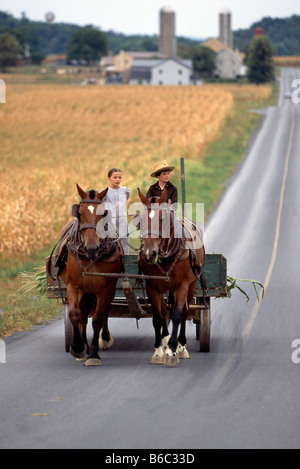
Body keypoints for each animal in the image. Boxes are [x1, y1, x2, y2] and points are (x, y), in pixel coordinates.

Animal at [59, 184, 123, 366]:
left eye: (103, 214)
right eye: (79, 213)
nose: (92, 247)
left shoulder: (105, 288)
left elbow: (98, 319)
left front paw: (94, 354)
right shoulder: (73, 286)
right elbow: (75, 314)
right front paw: (78, 347)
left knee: (102, 313)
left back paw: (103, 339)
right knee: (83, 315)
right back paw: (83, 347)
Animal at [138, 187, 206, 366]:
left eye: (162, 219)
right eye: (141, 220)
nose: (149, 254)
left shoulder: (182, 285)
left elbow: (177, 315)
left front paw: (173, 349)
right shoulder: (152, 287)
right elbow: (157, 317)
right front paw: (158, 351)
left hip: (191, 285)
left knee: (184, 312)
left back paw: (181, 346)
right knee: (165, 311)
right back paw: (165, 341)